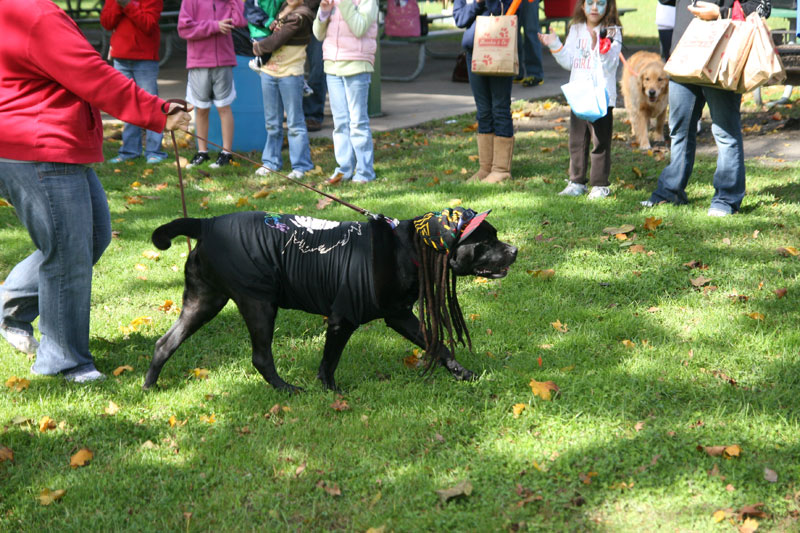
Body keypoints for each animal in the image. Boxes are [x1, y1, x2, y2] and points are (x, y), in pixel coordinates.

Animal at [144, 209, 520, 390]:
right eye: (485, 241)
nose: (515, 250)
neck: (411, 249)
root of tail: (206, 224)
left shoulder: (400, 315)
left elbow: (438, 346)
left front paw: (463, 373)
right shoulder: (343, 319)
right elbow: (329, 361)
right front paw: (330, 391)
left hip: (204, 301)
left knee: (165, 343)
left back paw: (149, 386)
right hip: (258, 303)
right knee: (261, 357)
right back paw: (288, 390)